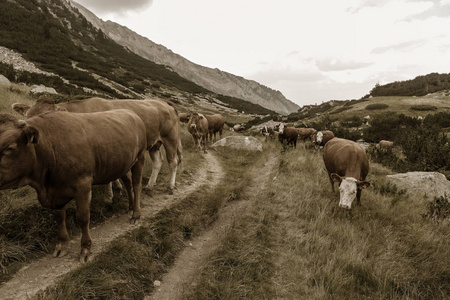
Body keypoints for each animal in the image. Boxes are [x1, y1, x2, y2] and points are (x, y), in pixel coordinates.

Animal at [0, 110, 146, 262]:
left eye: (10, 148)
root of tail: (129, 112)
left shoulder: (83, 185)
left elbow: (82, 217)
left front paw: (86, 248)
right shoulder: (54, 194)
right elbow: (59, 217)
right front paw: (62, 245)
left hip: (140, 157)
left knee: (137, 185)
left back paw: (136, 214)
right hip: (123, 164)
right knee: (128, 183)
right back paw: (130, 207)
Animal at [12, 96, 181, 195]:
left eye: (47, 118)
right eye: (27, 117)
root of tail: (163, 102)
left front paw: (113, 191)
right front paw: (117, 187)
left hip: (170, 137)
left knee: (173, 162)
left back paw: (171, 186)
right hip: (155, 142)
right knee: (158, 162)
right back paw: (150, 185)